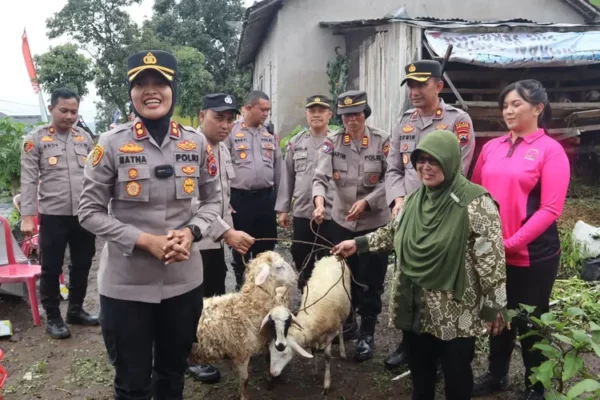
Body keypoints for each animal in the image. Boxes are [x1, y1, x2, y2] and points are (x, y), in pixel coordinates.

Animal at [189, 250, 296, 400]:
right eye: (279, 267)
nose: (296, 278)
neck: (248, 306)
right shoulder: (242, 352)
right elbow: (245, 379)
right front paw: (243, 396)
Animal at [262, 256, 352, 394]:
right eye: (271, 351)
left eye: (285, 354)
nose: (272, 373)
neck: (313, 316)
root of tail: (332, 256)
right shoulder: (314, 333)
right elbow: (313, 351)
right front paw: (315, 373)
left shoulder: (331, 331)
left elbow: (327, 356)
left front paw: (326, 384)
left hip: (342, 312)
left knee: (341, 329)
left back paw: (342, 352)